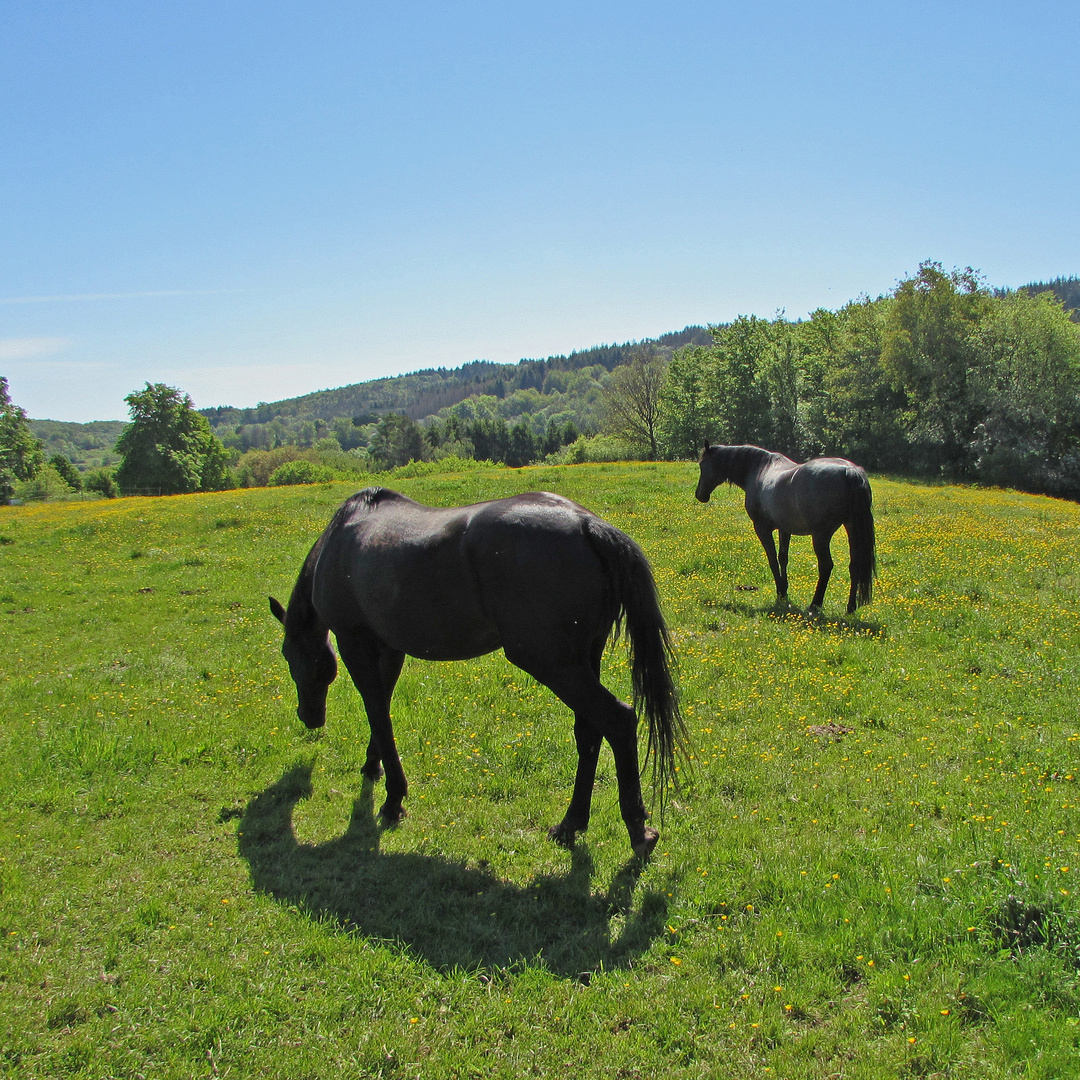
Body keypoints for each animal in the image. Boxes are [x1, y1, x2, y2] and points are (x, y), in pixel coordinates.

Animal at [267, 486, 682, 855]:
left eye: (288, 654)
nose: (308, 716)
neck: (339, 542)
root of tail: (586, 524)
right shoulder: (389, 649)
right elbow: (380, 707)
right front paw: (374, 766)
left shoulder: (356, 644)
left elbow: (376, 711)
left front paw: (393, 799)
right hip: (582, 661)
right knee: (590, 732)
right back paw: (570, 824)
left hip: (553, 664)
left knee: (618, 721)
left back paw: (637, 831)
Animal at [691, 444, 876, 613]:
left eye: (702, 465)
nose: (700, 495)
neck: (759, 470)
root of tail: (849, 471)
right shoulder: (784, 529)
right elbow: (783, 558)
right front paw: (785, 590)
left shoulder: (762, 528)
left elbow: (772, 559)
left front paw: (780, 591)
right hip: (851, 528)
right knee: (855, 565)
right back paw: (850, 607)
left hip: (821, 535)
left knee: (826, 566)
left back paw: (815, 604)